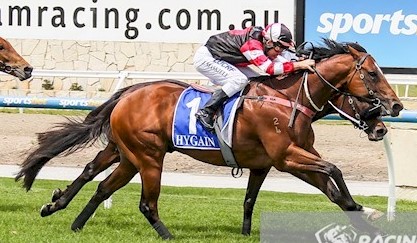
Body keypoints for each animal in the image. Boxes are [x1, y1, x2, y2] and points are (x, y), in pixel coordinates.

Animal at [15, 39, 400, 238]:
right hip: (149, 156)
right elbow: (334, 170)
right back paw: (166, 235)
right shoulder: (286, 156)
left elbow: (321, 192)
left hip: (125, 152)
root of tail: (130, 92)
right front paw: (368, 211)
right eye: (371, 74)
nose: (393, 110)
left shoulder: (277, 161)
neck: (290, 98)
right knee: (144, 202)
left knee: (96, 179)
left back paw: (65, 214)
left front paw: (364, 217)